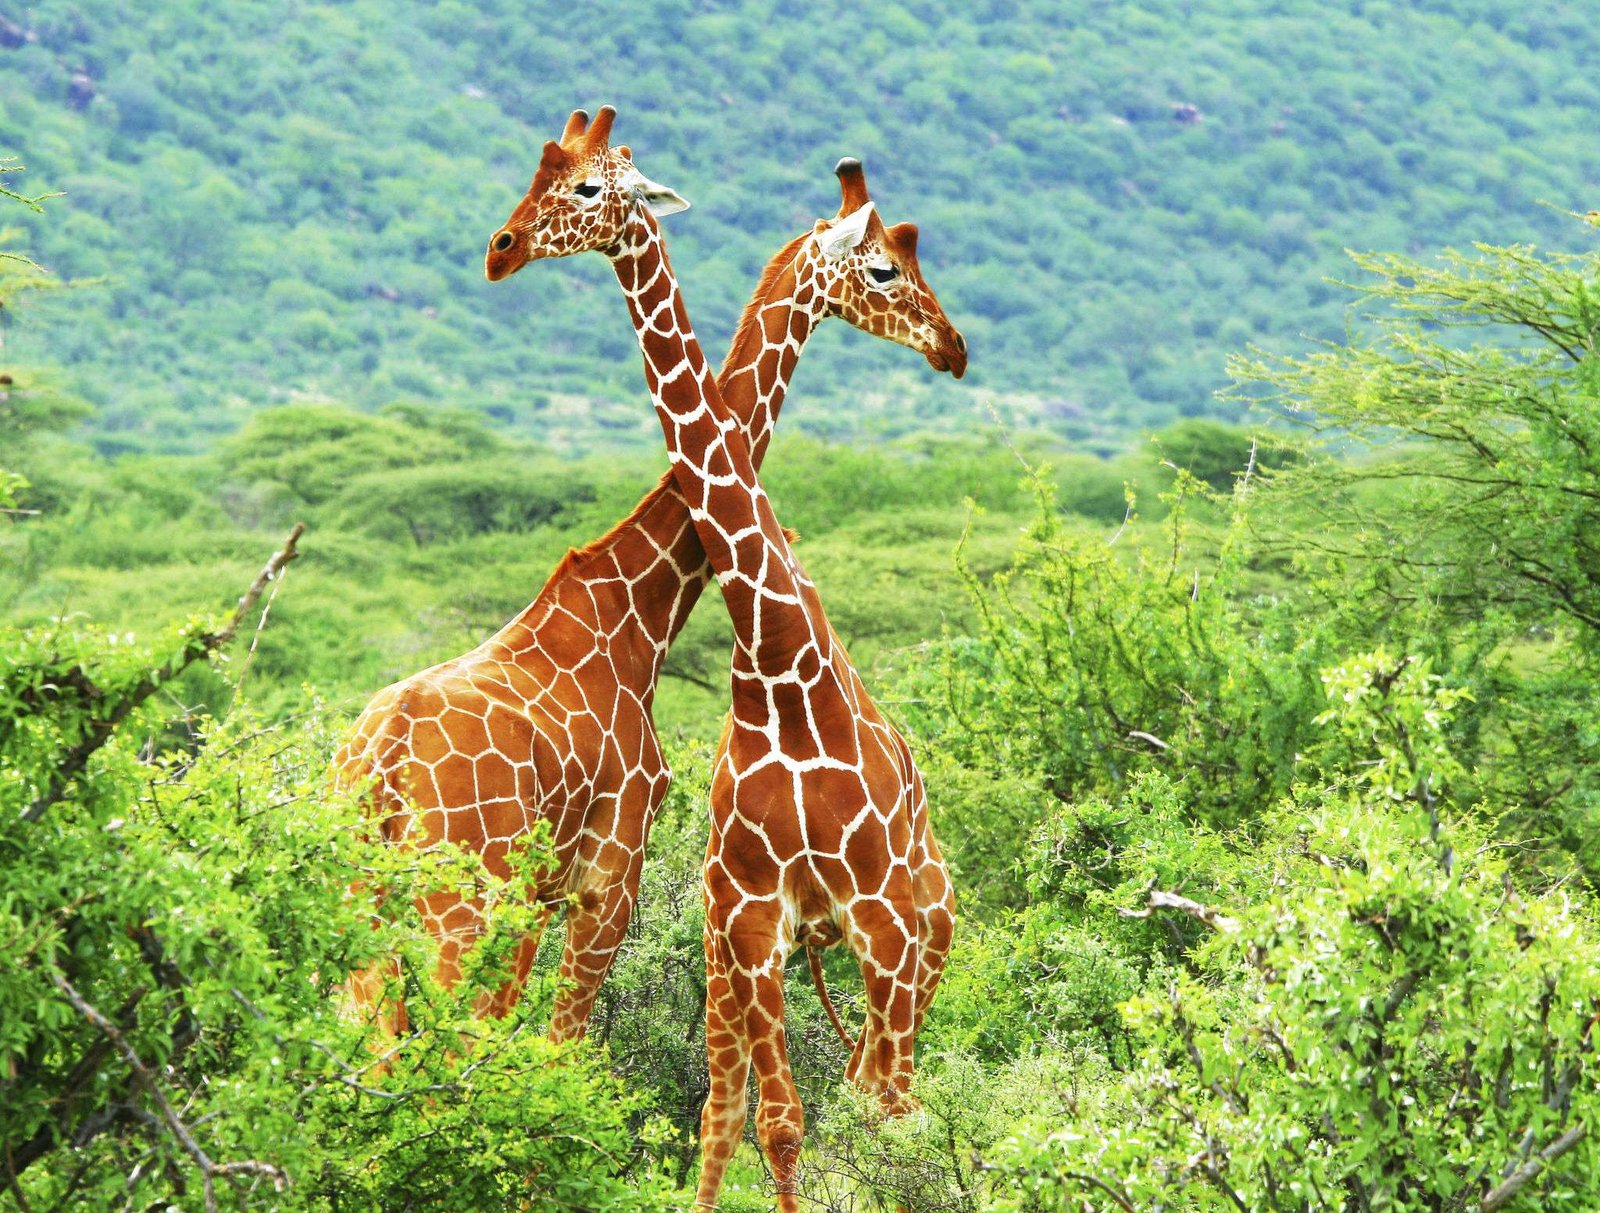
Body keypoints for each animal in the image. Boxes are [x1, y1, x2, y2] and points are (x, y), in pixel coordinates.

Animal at [337, 109, 960, 1049]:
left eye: (580, 183)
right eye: (886, 265)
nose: (952, 346)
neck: (641, 611)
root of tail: (380, 760)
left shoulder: (548, 888)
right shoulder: (610, 870)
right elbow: (557, 1048)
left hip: (361, 891)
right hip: (458, 898)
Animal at [483, 107, 960, 1213]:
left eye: (586, 187)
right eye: (885, 266)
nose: (954, 347)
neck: (779, 663)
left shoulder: (875, 916)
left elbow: (864, 1117)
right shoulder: (747, 915)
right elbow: (772, 1121)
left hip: (923, 933)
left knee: (897, 1095)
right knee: (767, 1099)